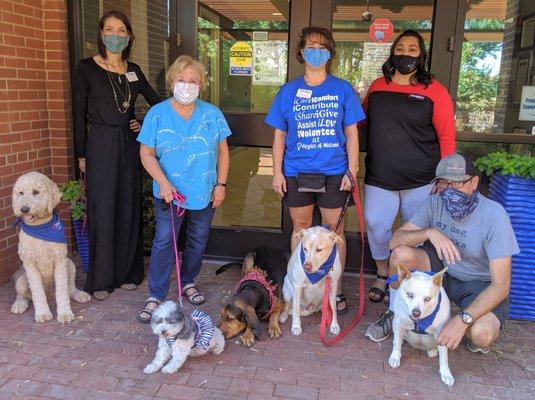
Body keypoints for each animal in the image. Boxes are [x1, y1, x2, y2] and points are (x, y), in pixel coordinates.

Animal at [10, 170, 90, 324]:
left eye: (36, 192)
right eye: (21, 193)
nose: (24, 209)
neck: (40, 227)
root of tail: (50, 294)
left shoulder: (60, 261)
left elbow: (63, 291)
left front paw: (65, 313)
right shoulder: (30, 265)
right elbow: (37, 292)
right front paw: (43, 313)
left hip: (70, 265)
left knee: (70, 288)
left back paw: (79, 294)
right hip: (21, 280)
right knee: (23, 295)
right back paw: (19, 305)